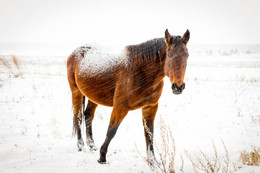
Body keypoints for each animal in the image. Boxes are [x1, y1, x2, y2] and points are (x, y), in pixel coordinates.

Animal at [66, 29, 190, 164]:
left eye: (187, 55)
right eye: (169, 54)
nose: (178, 87)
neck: (140, 72)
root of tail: (76, 51)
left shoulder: (150, 108)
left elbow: (149, 134)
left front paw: (153, 161)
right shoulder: (120, 107)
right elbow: (111, 131)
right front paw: (102, 157)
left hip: (94, 96)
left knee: (88, 115)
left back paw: (91, 145)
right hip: (76, 92)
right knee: (78, 117)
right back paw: (81, 145)